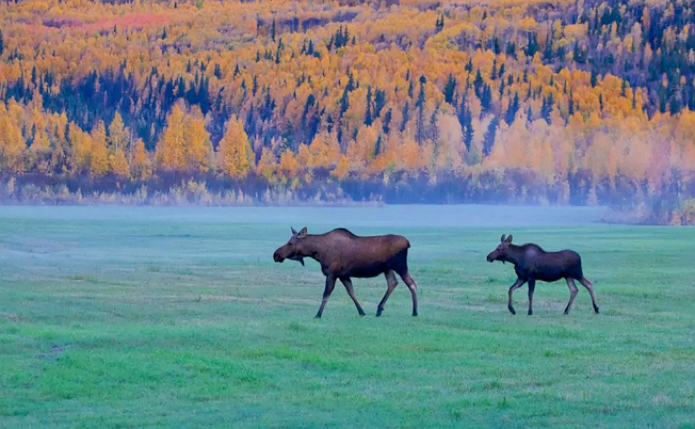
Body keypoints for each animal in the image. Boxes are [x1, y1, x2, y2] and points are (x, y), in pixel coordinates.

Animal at [274, 227, 418, 318]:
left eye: (290, 242)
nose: (276, 255)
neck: (317, 252)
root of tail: (408, 243)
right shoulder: (343, 275)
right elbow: (352, 293)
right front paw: (362, 312)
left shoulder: (331, 273)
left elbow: (326, 294)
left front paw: (318, 314)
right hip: (387, 268)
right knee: (393, 283)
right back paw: (379, 309)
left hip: (399, 265)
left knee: (412, 283)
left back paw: (415, 312)